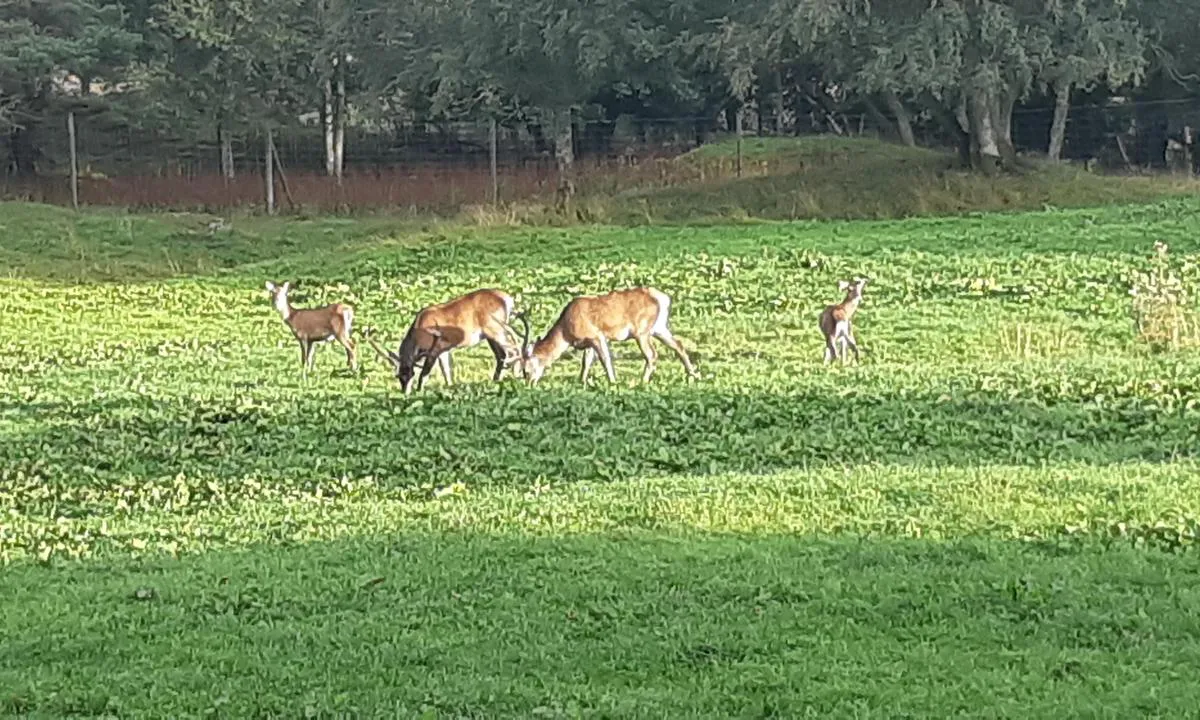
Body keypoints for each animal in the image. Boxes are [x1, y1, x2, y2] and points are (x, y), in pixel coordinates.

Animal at [364, 286, 525, 393]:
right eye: (398, 376)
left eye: (410, 373)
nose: (405, 392)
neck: (419, 332)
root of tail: (508, 299)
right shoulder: (444, 349)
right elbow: (446, 370)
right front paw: (450, 387)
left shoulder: (435, 348)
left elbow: (425, 373)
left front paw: (419, 391)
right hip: (490, 335)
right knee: (502, 355)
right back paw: (496, 379)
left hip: (495, 329)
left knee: (513, 349)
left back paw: (517, 375)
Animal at [513, 288, 700, 388]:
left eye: (525, 369)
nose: (529, 383)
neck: (565, 329)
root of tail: (662, 298)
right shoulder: (588, 342)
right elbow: (586, 361)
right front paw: (581, 381)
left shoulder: (597, 336)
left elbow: (605, 359)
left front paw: (613, 382)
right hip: (659, 328)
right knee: (678, 344)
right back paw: (693, 374)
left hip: (642, 331)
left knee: (652, 355)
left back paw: (642, 381)